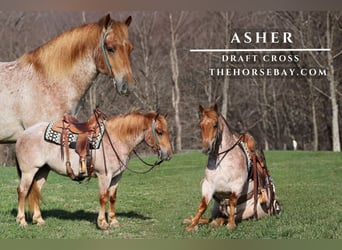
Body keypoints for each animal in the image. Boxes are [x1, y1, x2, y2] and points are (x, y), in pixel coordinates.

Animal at [15, 110, 174, 229]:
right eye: (159, 132)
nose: (168, 154)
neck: (115, 139)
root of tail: (22, 134)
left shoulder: (117, 176)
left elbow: (112, 197)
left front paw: (114, 221)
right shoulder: (105, 176)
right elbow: (103, 197)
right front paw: (103, 223)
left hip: (42, 170)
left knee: (36, 191)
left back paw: (39, 220)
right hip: (29, 172)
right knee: (23, 191)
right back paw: (22, 221)